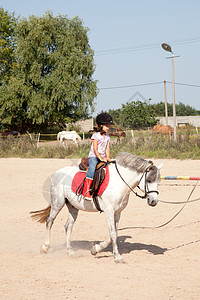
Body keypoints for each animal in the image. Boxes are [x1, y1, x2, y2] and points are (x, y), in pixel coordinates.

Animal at [30, 152, 162, 262]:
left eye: (158, 181)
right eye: (149, 180)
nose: (153, 201)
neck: (119, 182)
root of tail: (57, 173)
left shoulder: (117, 212)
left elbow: (114, 233)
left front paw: (95, 249)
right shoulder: (109, 211)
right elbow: (113, 234)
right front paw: (117, 257)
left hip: (73, 207)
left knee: (68, 226)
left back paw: (69, 251)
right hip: (58, 203)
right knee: (49, 221)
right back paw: (45, 247)